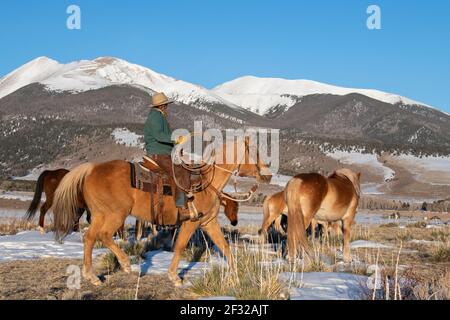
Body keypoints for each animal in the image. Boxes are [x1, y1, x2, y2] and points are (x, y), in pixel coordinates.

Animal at [52, 139, 270, 286]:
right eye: (255, 153)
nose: (267, 175)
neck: (207, 183)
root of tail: (92, 169)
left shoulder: (209, 223)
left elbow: (224, 246)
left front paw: (236, 276)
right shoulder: (191, 222)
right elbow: (180, 246)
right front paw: (174, 277)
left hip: (100, 214)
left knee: (89, 238)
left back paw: (92, 276)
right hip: (116, 214)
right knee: (104, 235)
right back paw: (125, 264)